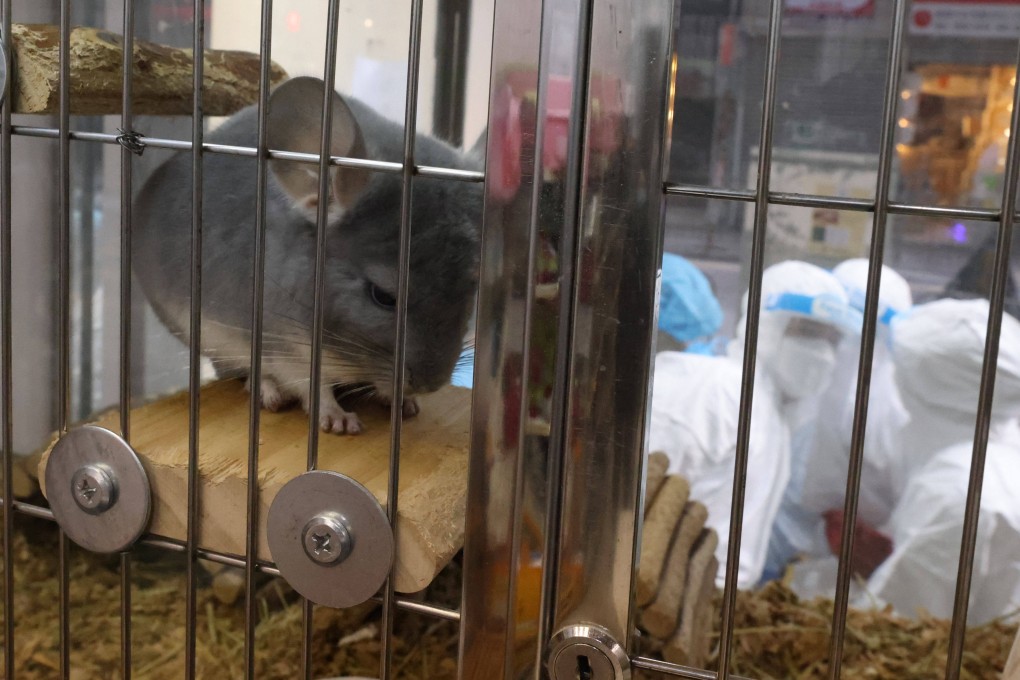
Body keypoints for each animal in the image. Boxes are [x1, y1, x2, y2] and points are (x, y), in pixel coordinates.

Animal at [133, 77, 481, 434]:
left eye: (473, 289)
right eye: (383, 296)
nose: (430, 385)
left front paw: (403, 403)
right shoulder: (283, 344)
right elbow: (312, 387)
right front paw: (339, 421)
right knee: (240, 372)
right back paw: (270, 394)